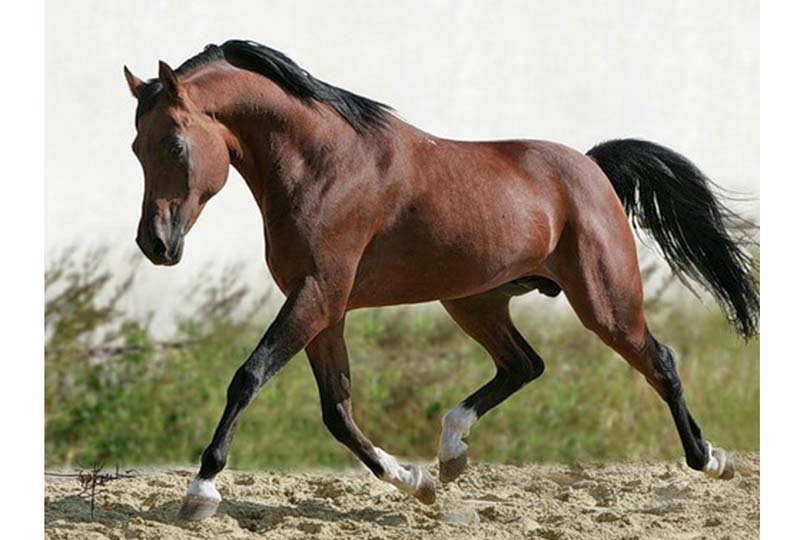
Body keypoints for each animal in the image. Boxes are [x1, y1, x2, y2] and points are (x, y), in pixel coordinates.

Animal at [123, 38, 756, 520]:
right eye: (134, 146)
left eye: (174, 143)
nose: (156, 244)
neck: (323, 165)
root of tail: (592, 166)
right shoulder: (325, 307)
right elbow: (337, 410)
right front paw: (415, 481)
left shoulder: (318, 296)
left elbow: (249, 377)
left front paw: (201, 490)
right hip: (475, 302)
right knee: (524, 365)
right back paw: (451, 453)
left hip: (605, 302)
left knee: (659, 361)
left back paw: (712, 460)